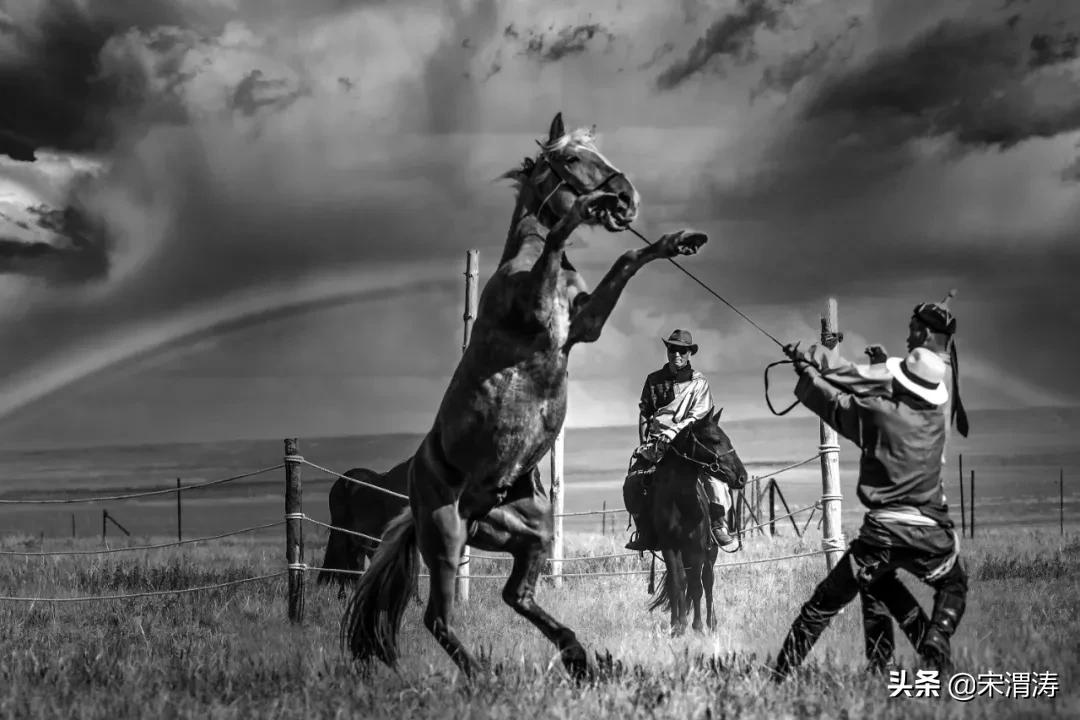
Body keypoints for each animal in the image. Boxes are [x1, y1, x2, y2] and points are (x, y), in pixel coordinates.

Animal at [342, 111, 709, 681]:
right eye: (572, 158)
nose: (625, 197)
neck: (534, 264)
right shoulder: (535, 308)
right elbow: (562, 231)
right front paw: (582, 210)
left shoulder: (585, 325)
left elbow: (629, 255)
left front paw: (676, 241)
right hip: (446, 537)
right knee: (439, 618)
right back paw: (484, 677)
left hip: (527, 532)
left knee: (518, 595)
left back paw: (575, 654)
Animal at [644, 408, 748, 636]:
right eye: (716, 440)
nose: (742, 477)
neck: (680, 501)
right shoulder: (670, 547)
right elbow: (679, 582)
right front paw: (678, 626)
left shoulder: (697, 547)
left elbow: (696, 585)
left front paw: (698, 626)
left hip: (710, 552)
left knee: (707, 582)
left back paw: (712, 623)